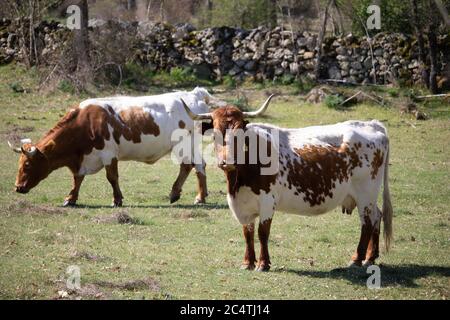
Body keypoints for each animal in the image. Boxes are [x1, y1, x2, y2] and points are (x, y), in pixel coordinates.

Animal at [8, 87, 213, 206]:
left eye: (27, 164)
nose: (18, 187)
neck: (85, 123)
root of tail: (193, 94)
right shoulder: (82, 160)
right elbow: (77, 178)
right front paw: (71, 199)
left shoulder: (108, 154)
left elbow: (112, 177)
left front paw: (117, 200)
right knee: (195, 166)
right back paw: (189, 195)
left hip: (185, 144)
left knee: (191, 165)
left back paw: (187, 195)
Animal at [183, 97, 394, 270]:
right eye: (215, 134)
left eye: (240, 133)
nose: (227, 162)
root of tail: (371, 124)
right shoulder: (243, 204)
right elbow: (247, 233)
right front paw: (247, 262)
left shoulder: (268, 201)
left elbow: (262, 232)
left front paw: (263, 263)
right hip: (365, 197)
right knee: (377, 216)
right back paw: (370, 258)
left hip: (366, 193)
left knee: (367, 222)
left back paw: (356, 259)